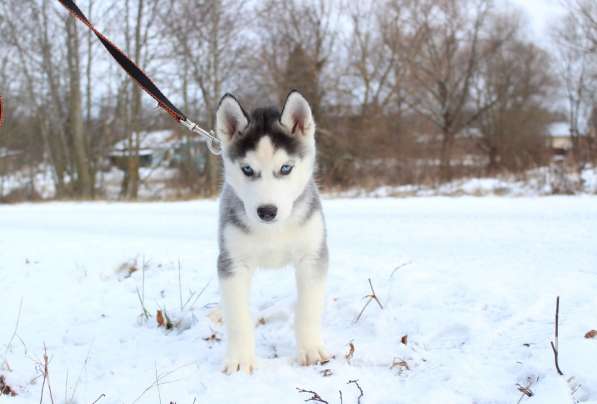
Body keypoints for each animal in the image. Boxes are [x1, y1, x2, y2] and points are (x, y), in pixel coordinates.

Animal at [214, 90, 326, 374]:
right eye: (247, 169)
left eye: (286, 168)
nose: (267, 211)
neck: (273, 230)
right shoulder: (232, 262)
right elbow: (238, 316)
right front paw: (240, 359)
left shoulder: (312, 257)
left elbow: (308, 309)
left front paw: (310, 350)